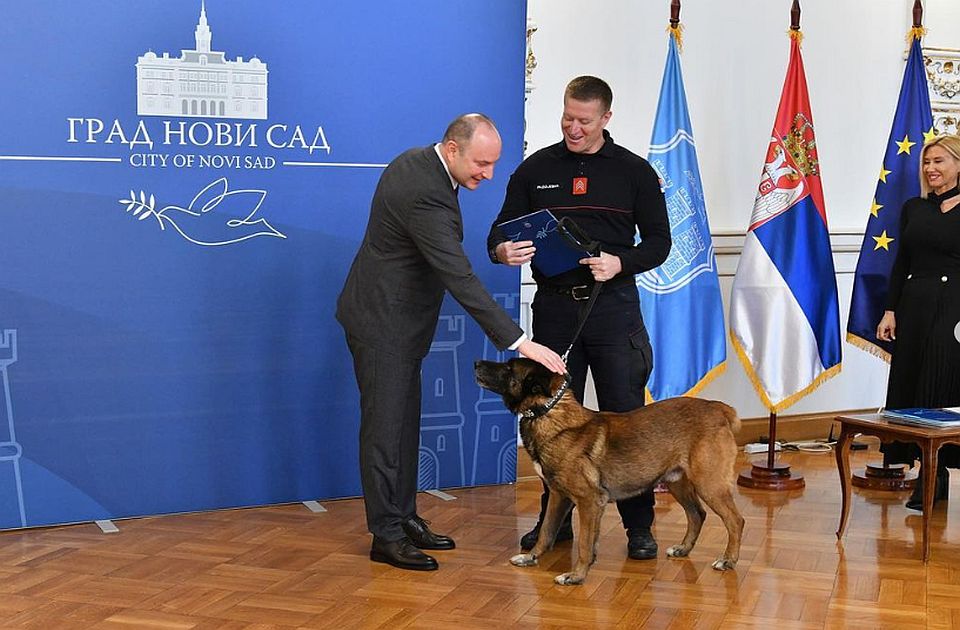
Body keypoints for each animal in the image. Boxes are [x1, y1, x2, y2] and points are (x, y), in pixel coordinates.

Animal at [476, 360, 748, 588]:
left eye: (509, 368)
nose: (476, 362)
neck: (549, 413)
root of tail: (718, 409)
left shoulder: (589, 501)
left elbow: (584, 544)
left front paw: (576, 576)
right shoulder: (558, 497)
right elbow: (546, 532)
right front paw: (531, 558)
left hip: (709, 485)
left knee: (735, 521)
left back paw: (728, 560)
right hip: (677, 483)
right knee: (697, 514)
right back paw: (683, 549)